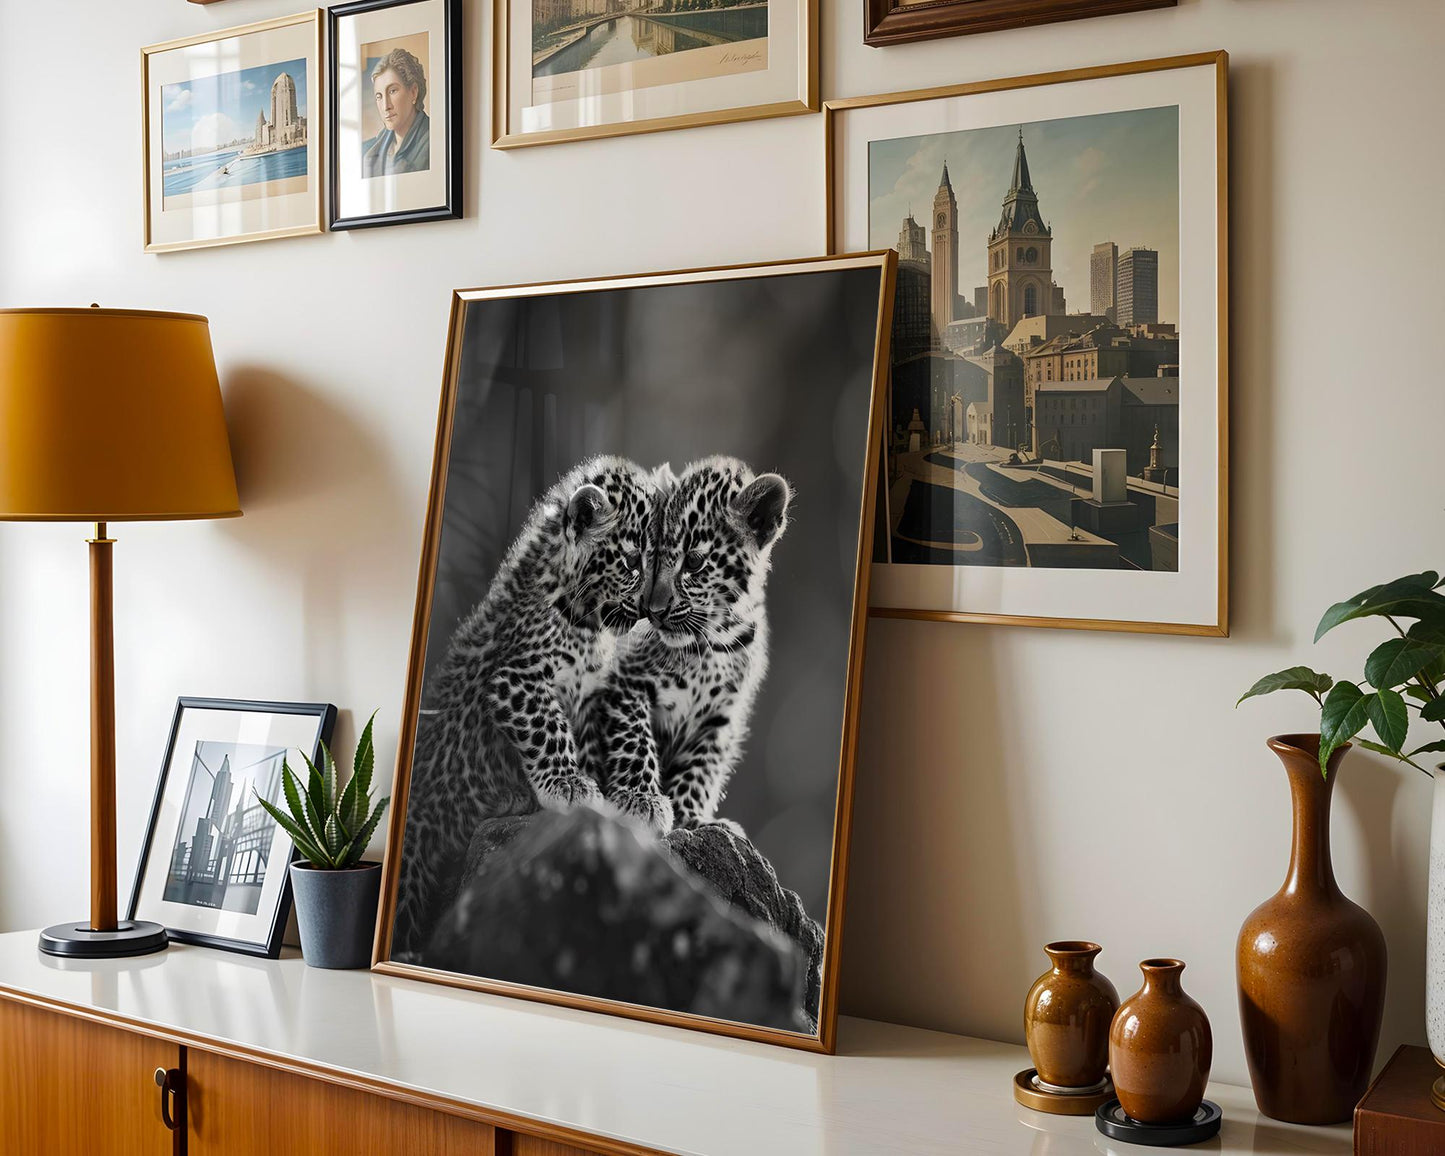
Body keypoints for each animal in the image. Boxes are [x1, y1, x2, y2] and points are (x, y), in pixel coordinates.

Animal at [391, 455, 660, 957]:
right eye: (634, 562)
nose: (652, 611)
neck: (586, 622)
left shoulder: (605, 690)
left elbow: (635, 736)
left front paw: (643, 799)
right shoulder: (517, 681)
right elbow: (549, 728)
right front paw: (570, 787)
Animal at [577, 455, 792, 837]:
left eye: (693, 562)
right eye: (648, 560)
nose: (654, 611)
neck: (712, 644)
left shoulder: (721, 717)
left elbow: (701, 768)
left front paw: (690, 817)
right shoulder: (624, 684)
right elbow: (635, 740)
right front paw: (642, 799)